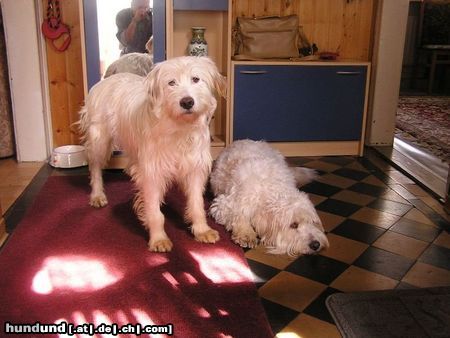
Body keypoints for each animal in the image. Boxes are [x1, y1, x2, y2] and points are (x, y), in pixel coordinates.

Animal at [79, 56, 227, 251]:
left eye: (196, 79)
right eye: (171, 83)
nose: (187, 102)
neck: (180, 128)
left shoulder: (195, 169)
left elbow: (197, 204)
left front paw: (202, 229)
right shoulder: (152, 174)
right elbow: (155, 213)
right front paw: (158, 238)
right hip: (99, 141)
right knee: (95, 168)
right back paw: (97, 195)